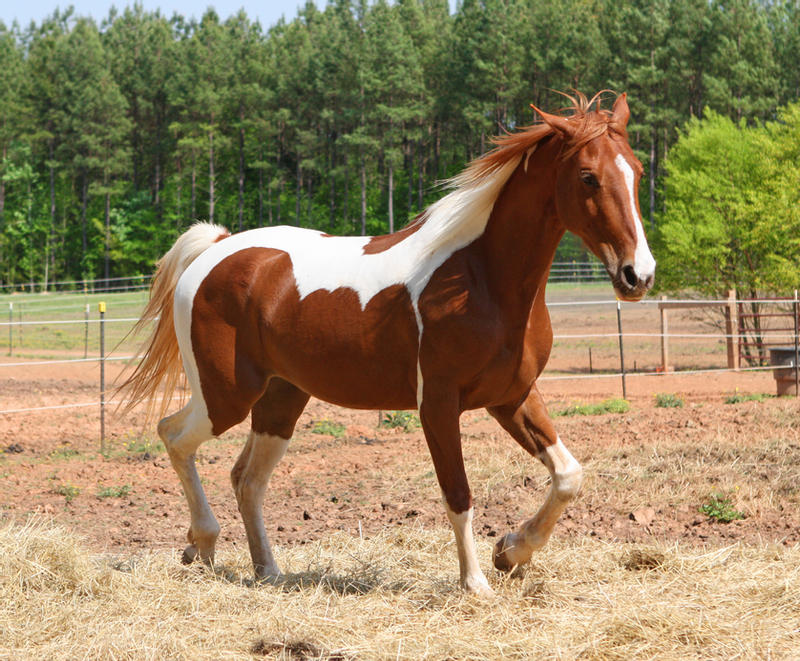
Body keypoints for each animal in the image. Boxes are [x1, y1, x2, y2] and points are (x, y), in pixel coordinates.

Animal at [122, 91, 652, 592]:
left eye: (638, 171)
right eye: (587, 177)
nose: (638, 275)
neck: (480, 278)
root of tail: (217, 249)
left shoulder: (512, 396)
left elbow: (568, 476)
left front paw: (511, 551)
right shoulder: (437, 403)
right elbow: (458, 494)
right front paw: (475, 583)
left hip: (281, 400)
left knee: (247, 479)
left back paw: (268, 570)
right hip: (226, 396)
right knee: (174, 436)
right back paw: (202, 544)